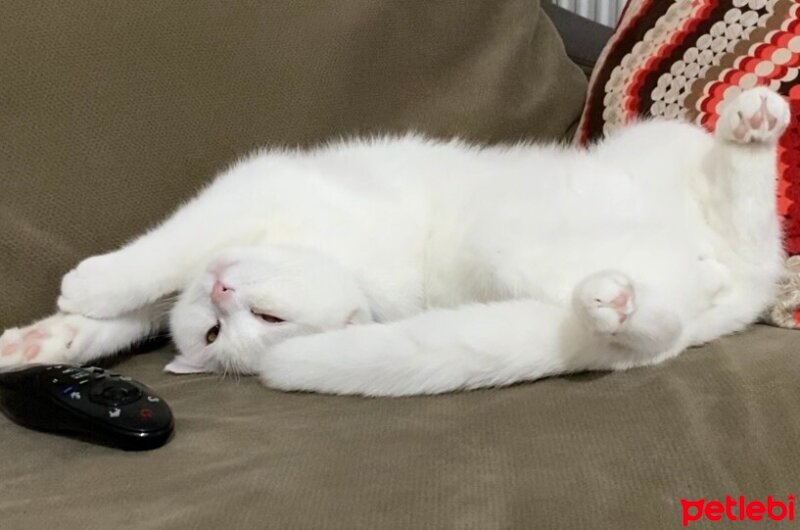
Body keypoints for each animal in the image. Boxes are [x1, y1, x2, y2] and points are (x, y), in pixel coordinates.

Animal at [0, 87, 788, 392]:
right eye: (217, 333)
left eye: (267, 318)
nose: (221, 289)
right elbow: (122, 319)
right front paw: (42, 342)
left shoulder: (254, 188)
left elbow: (161, 253)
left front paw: (91, 281)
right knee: (668, 312)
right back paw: (623, 300)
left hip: (631, 173)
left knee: (735, 230)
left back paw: (751, 126)